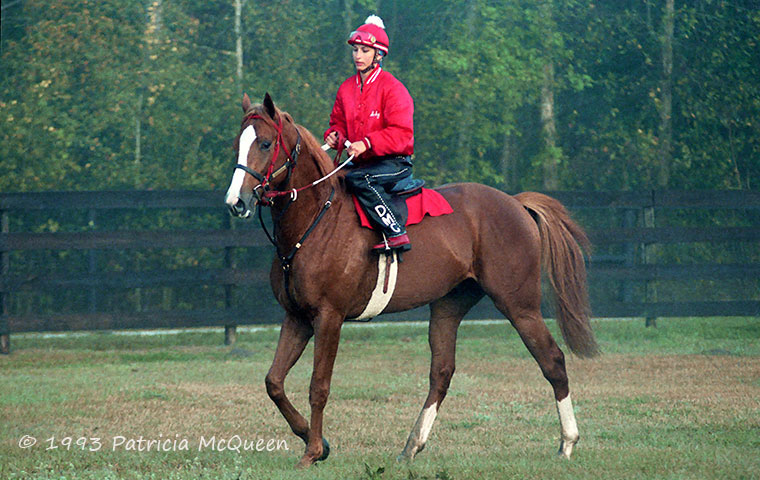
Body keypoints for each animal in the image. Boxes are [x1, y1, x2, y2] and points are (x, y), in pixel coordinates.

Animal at [226, 92, 600, 466]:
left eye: (265, 143)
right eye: (237, 144)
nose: (236, 202)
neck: (316, 221)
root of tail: (516, 203)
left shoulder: (329, 317)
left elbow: (319, 386)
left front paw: (313, 450)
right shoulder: (297, 317)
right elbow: (274, 382)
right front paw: (315, 440)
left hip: (519, 305)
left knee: (552, 360)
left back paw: (567, 442)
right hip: (449, 306)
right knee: (442, 372)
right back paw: (412, 445)